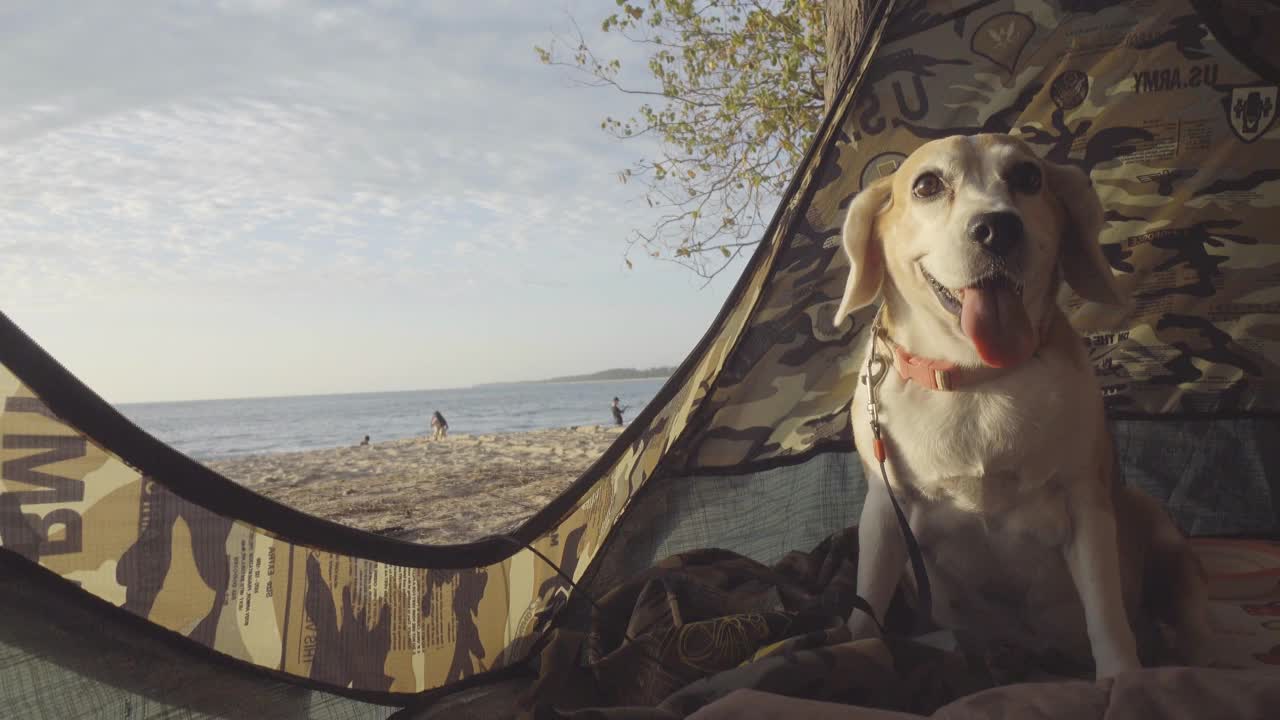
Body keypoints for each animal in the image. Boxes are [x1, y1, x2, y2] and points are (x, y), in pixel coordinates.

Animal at [839, 131, 1208, 676]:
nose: (997, 228)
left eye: (1028, 177)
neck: (978, 378)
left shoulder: (1087, 505)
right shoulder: (886, 513)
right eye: (927, 185)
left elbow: (1106, 614)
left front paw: (1123, 679)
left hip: (1159, 529)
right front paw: (850, 649)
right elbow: (865, 605)